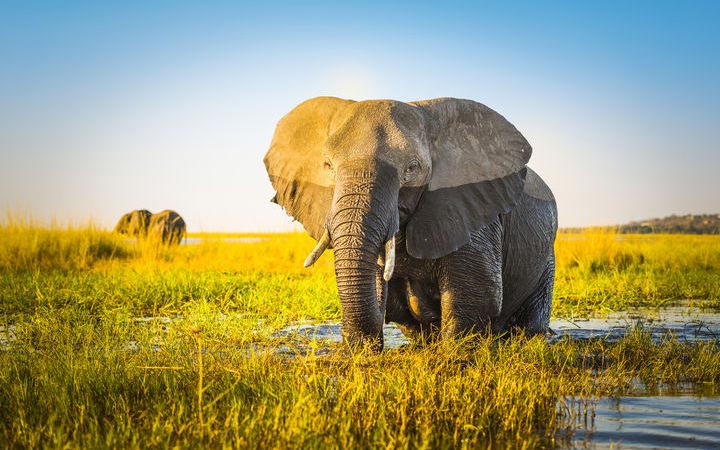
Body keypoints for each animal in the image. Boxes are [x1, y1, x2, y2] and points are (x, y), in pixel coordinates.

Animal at [264, 96, 556, 350]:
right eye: (327, 166)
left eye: (412, 168)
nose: (359, 346)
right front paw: (361, 352)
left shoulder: (470, 205)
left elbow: (477, 295)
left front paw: (453, 355)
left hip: (546, 259)